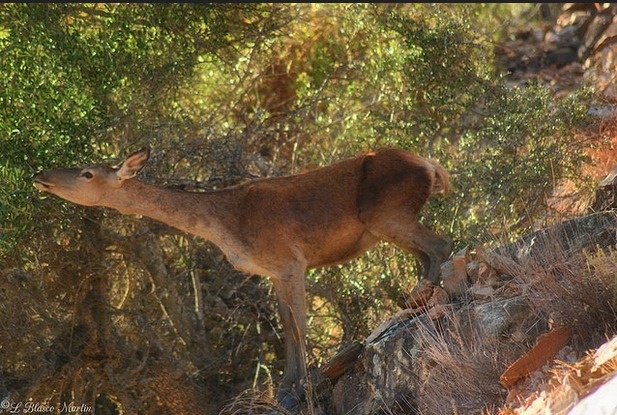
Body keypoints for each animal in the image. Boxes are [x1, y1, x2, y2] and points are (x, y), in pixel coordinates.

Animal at [33, 148, 452, 412]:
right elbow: (286, 327)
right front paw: (286, 389)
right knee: (428, 254)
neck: (225, 227)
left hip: (387, 214)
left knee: (441, 244)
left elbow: (297, 328)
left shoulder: (290, 261)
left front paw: (296, 391)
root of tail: (433, 167)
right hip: (390, 223)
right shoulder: (274, 272)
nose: (40, 175)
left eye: (87, 172)